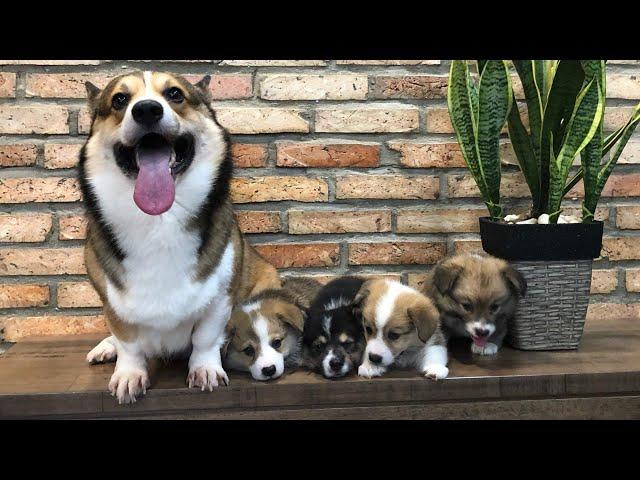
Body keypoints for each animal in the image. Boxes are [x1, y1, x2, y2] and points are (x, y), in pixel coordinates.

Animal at [80, 70, 280, 402]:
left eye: (175, 94)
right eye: (120, 99)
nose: (147, 110)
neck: (159, 222)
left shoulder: (220, 297)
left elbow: (205, 338)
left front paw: (206, 370)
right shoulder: (113, 301)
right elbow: (128, 342)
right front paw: (128, 375)